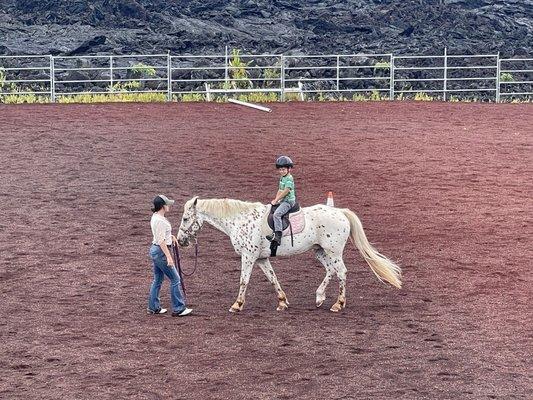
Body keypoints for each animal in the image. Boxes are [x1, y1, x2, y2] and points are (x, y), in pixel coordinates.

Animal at [177, 197, 402, 312]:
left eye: (186, 218)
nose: (180, 241)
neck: (240, 220)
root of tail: (340, 211)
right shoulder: (261, 259)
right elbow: (272, 278)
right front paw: (282, 301)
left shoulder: (248, 257)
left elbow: (243, 280)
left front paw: (237, 305)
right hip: (320, 251)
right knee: (331, 271)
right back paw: (319, 297)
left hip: (333, 251)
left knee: (342, 272)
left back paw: (338, 304)